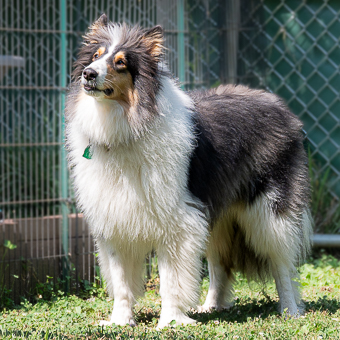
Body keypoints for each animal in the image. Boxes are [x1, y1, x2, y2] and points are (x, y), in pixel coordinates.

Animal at [65, 14, 314, 328]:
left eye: (121, 62)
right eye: (96, 56)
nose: (88, 74)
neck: (127, 124)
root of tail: (283, 109)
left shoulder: (178, 221)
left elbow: (171, 280)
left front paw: (170, 321)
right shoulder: (117, 220)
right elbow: (121, 282)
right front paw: (120, 322)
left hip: (269, 214)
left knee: (282, 263)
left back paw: (290, 309)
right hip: (217, 216)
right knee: (220, 264)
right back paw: (211, 307)